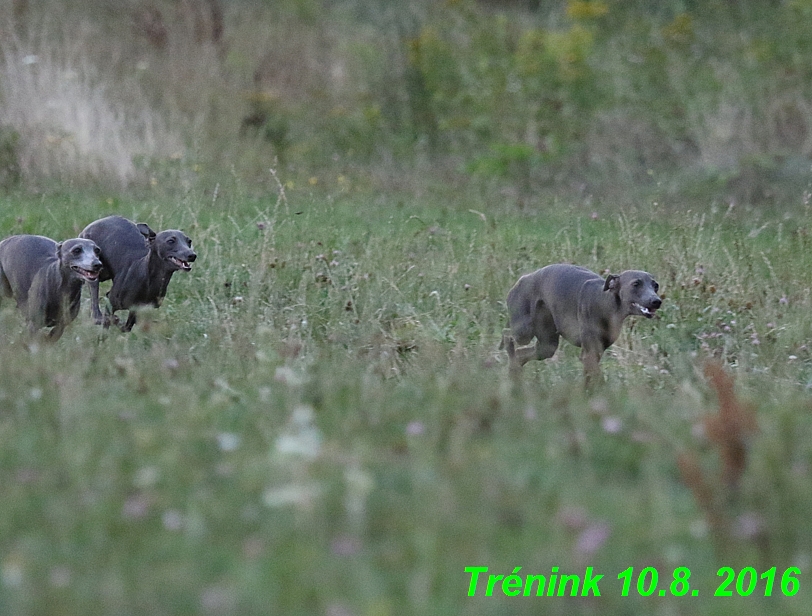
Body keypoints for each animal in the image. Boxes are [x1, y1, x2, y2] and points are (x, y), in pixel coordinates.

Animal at [498, 264, 664, 384]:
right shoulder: (589, 353)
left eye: (655, 285)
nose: (656, 301)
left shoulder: (594, 354)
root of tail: (522, 279)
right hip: (524, 331)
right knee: (507, 334)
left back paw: (514, 372)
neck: (606, 303)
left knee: (521, 355)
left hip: (546, 345)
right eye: (636, 283)